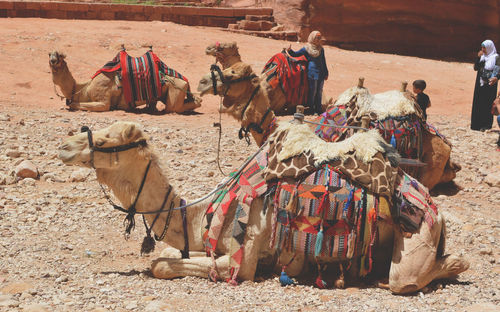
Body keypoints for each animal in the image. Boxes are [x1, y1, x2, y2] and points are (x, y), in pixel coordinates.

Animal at [48, 50, 201, 114]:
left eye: (60, 56)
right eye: (49, 54)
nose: (53, 60)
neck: (83, 88)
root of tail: (185, 79)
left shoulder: (103, 100)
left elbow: (74, 104)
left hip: (177, 87)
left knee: (174, 108)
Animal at [58, 120, 468, 294]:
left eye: (105, 140)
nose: (64, 146)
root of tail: (433, 205)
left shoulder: (246, 249)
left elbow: (163, 265)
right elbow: (167, 255)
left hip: (419, 232)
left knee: (408, 278)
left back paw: (449, 265)